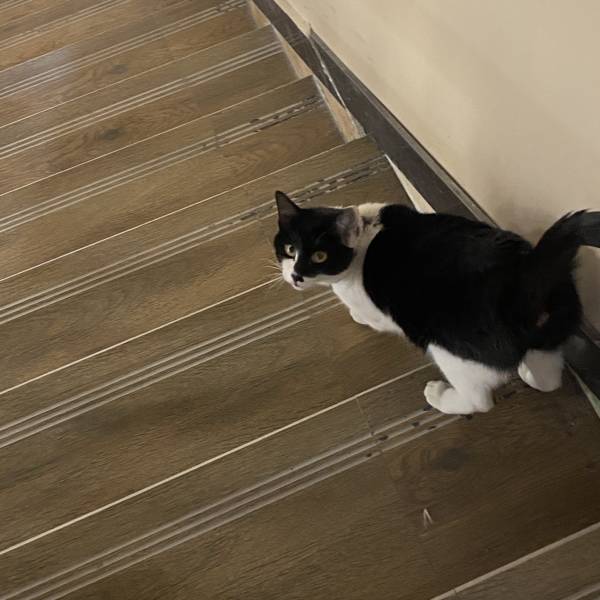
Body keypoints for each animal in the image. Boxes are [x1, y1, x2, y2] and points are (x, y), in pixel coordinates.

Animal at [272, 190, 600, 414]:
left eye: (319, 256)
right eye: (289, 249)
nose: (296, 276)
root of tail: (524, 276)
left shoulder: (375, 309)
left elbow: (368, 316)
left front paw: (356, 314)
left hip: (449, 350)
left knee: (479, 401)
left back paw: (441, 396)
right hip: (553, 326)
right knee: (549, 376)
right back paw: (529, 371)